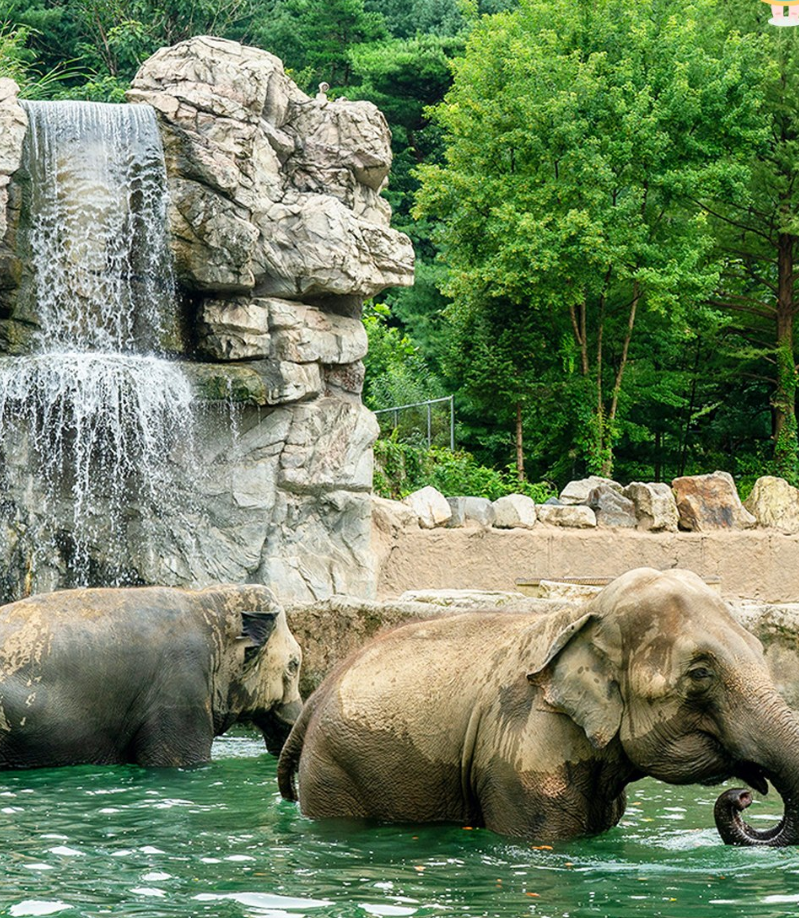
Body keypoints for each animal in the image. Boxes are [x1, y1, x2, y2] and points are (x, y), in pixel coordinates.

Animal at [278, 567, 799, 846]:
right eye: (700, 675)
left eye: (760, 648)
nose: (742, 797)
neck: (584, 611)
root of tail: (318, 693)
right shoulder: (527, 749)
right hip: (334, 770)